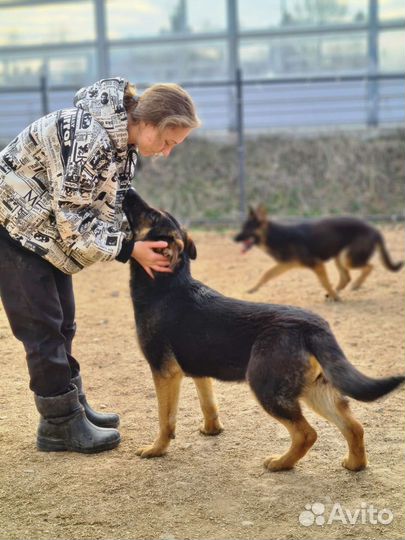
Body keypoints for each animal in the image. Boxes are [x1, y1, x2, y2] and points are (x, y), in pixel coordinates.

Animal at [232, 206, 402, 300]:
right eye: (242, 227)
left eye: (247, 228)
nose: (233, 238)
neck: (277, 236)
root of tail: (374, 229)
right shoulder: (285, 265)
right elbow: (267, 274)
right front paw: (253, 289)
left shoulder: (316, 264)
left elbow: (324, 282)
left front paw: (335, 296)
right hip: (339, 257)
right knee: (346, 277)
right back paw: (337, 291)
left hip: (346, 258)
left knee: (369, 267)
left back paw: (355, 285)